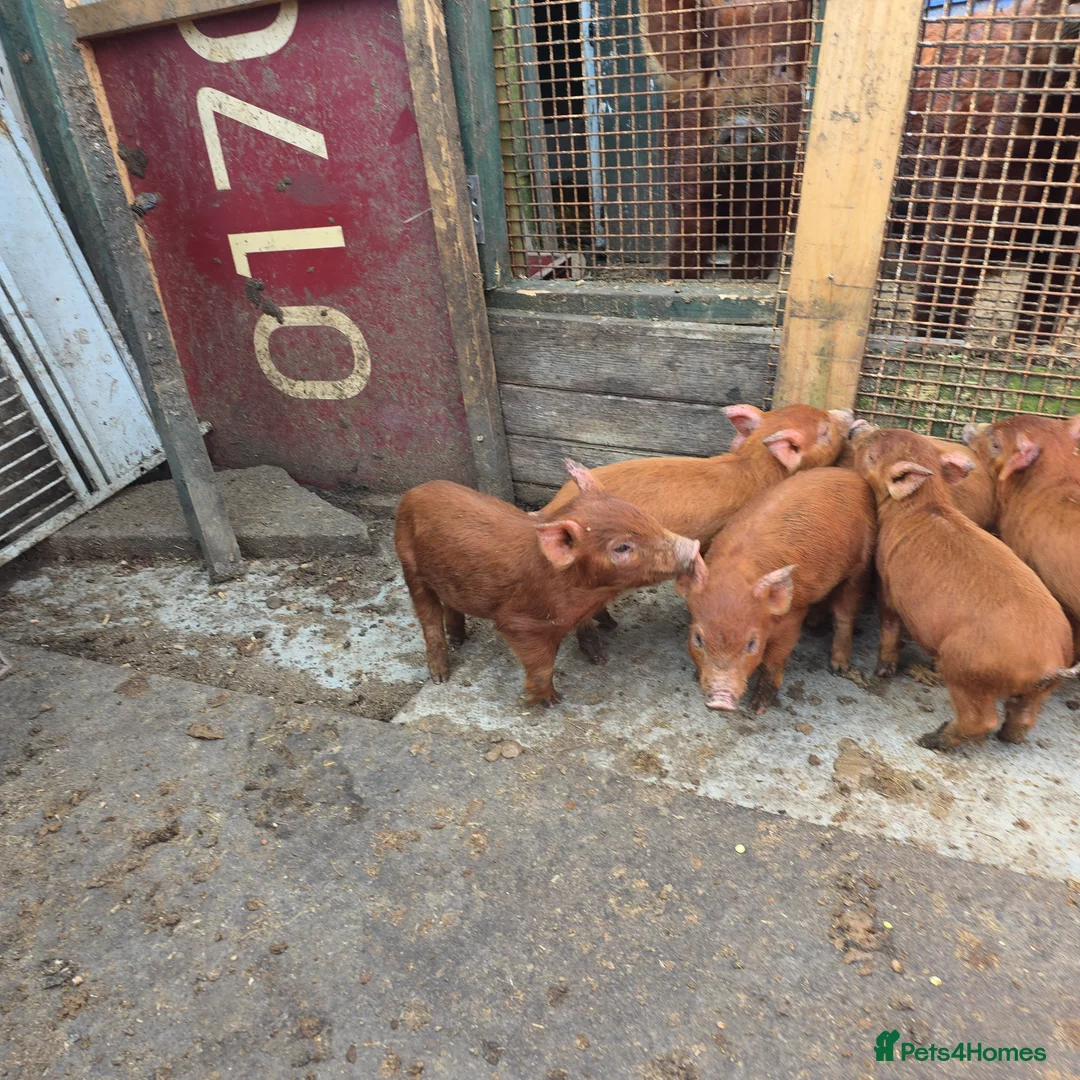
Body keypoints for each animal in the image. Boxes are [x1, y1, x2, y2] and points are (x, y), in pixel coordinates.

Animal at [394, 460, 702, 707]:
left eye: (644, 516)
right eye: (622, 547)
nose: (693, 546)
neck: (585, 593)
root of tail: (414, 491)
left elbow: (587, 628)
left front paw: (601, 656)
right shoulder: (519, 623)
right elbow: (541, 665)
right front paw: (551, 701)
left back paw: (459, 640)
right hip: (410, 566)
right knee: (429, 619)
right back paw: (440, 677)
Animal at [539, 403, 854, 661]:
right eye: (825, 431)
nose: (849, 412)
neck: (755, 468)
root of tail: (553, 510)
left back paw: (611, 625)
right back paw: (599, 655)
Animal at [679, 467, 876, 714]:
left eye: (752, 644)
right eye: (697, 638)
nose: (720, 702)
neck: (736, 574)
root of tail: (853, 475)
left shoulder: (792, 616)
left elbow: (774, 660)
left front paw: (757, 709)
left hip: (862, 566)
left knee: (845, 613)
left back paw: (838, 668)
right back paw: (814, 624)